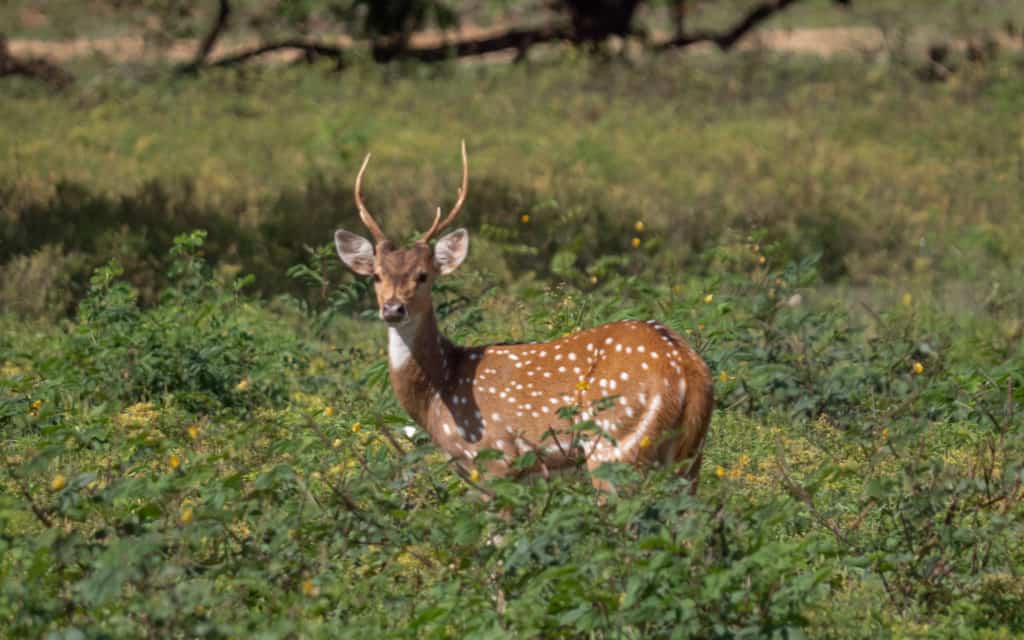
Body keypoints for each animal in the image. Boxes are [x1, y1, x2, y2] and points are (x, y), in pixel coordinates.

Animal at [333, 142, 713, 493]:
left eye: (423, 275)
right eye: (376, 276)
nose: (393, 309)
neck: (438, 393)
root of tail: (685, 367)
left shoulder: (495, 458)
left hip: (616, 442)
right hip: (689, 458)